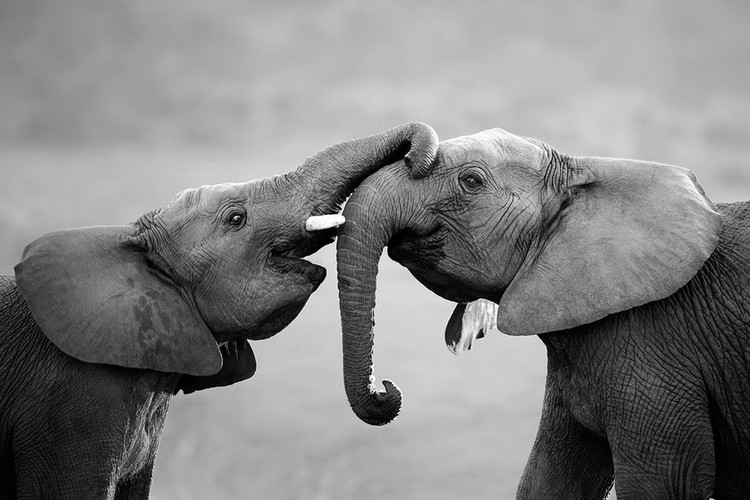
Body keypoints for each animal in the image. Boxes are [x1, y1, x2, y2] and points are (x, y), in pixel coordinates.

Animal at [335, 127, 750, 499]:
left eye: (471, 181)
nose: (386, 389)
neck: (583, 175)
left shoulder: (655, 348)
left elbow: (663, 482)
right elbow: (549, 477)